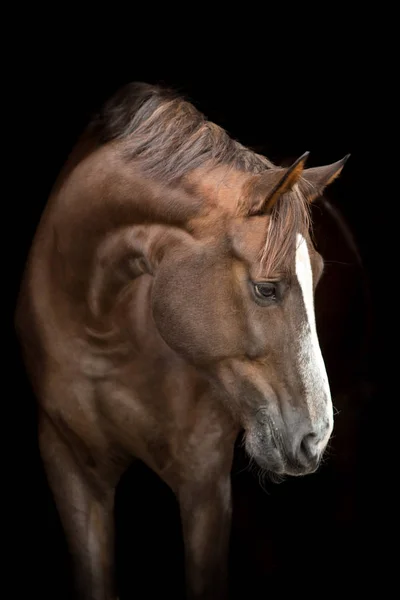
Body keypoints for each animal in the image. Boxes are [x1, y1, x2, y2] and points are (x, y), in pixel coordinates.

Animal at [14, 81, 346, 600]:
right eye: (266, 288)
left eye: (319, 276)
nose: (316, 439)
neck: (100, 331)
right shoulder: (69, 467)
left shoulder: (204, 483)